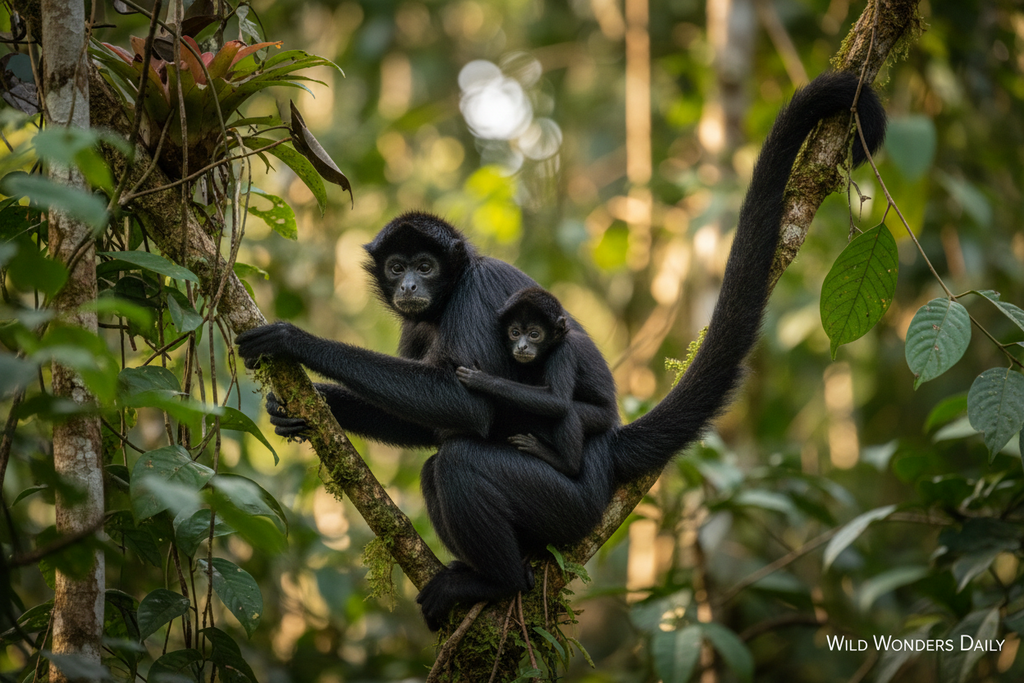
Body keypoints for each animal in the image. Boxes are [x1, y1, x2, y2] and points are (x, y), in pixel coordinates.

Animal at [454, 287, 618, 478]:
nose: (522, 346)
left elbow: (559, 402)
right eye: (515, 333)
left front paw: (482, 380)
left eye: (534, 334)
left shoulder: (564, 352)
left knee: (569, 412)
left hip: (601, 417)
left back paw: (563, 463)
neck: (557, 341)